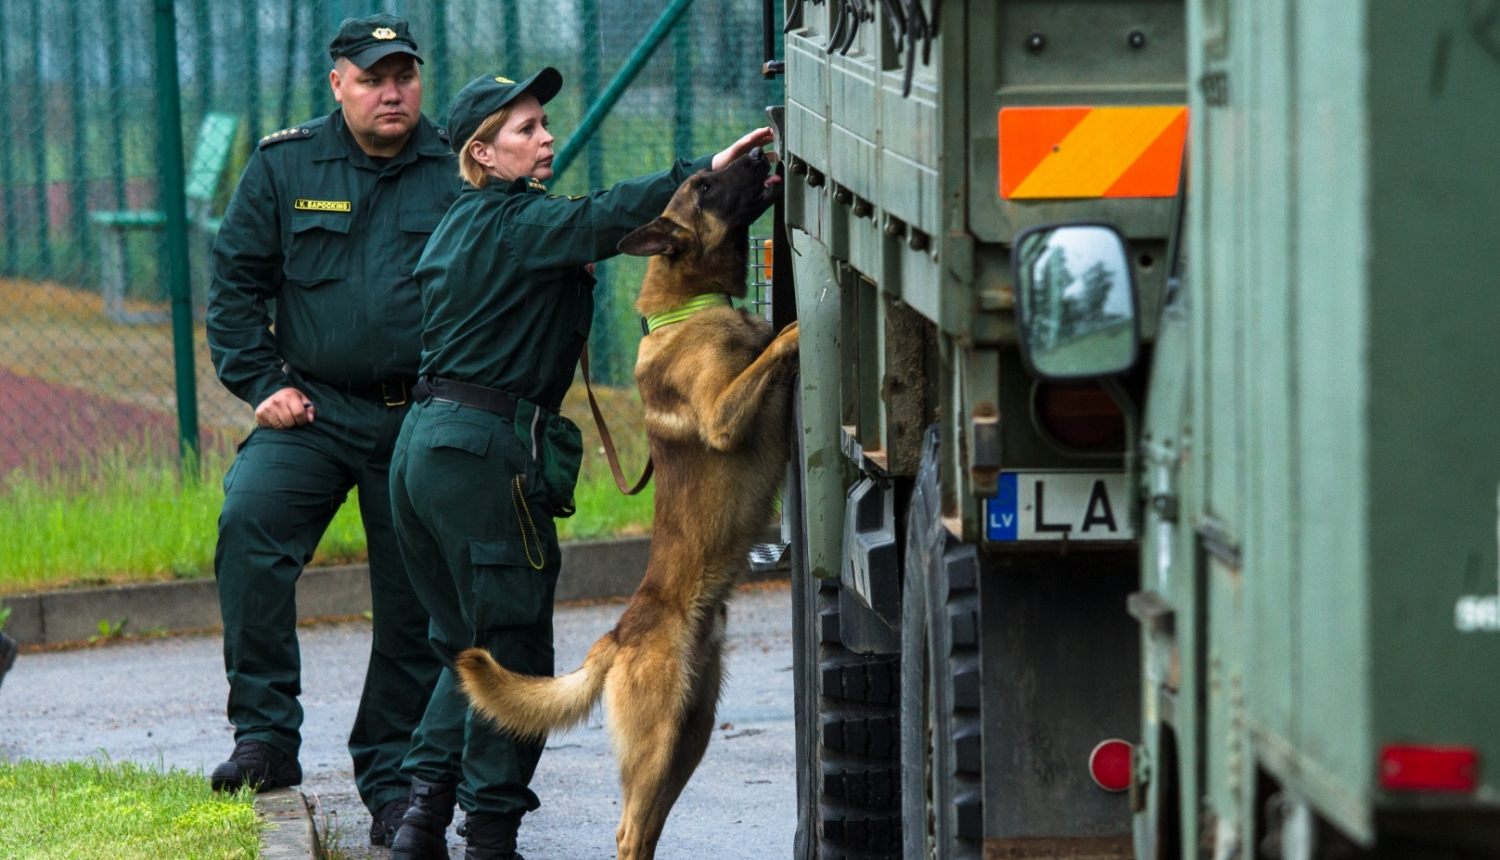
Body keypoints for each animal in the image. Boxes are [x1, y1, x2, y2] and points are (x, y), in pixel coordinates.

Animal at [453, 149, 798, 858]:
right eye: (705, 185)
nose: (758, 149)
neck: (690, 308)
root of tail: (616, 635)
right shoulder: (723, 416)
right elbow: (771, 351)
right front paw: (799, 329)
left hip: (689, 738)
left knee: (648, 827)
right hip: (658, 742)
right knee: (628, 832)